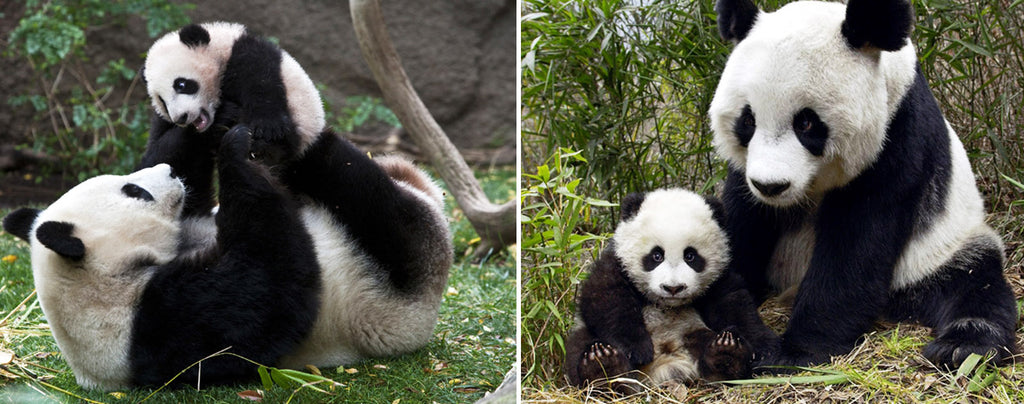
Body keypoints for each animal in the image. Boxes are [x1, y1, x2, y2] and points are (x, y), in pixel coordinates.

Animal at [561, 190, 774, 392]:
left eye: (690, 256)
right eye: (656, 255)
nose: (673, 288)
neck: (666, 305)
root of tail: (663, 368)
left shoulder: (719, 277)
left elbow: (734, 305)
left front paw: (763, 351)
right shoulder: (616, 262)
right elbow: (606, 299)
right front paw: (637, 349)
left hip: (691, 331)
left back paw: (726, 355)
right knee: (579, 345)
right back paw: (603, 367)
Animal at [708, 0, 1019, 370]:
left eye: (807, 123)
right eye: (748, 121)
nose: (771, 186)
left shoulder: (897, 137)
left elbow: (857, 245)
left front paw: (794, 352)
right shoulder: (745, 175)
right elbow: (742, 222)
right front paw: (731, 330)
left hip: (942, 249)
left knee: (975, 284)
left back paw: (962, 346)